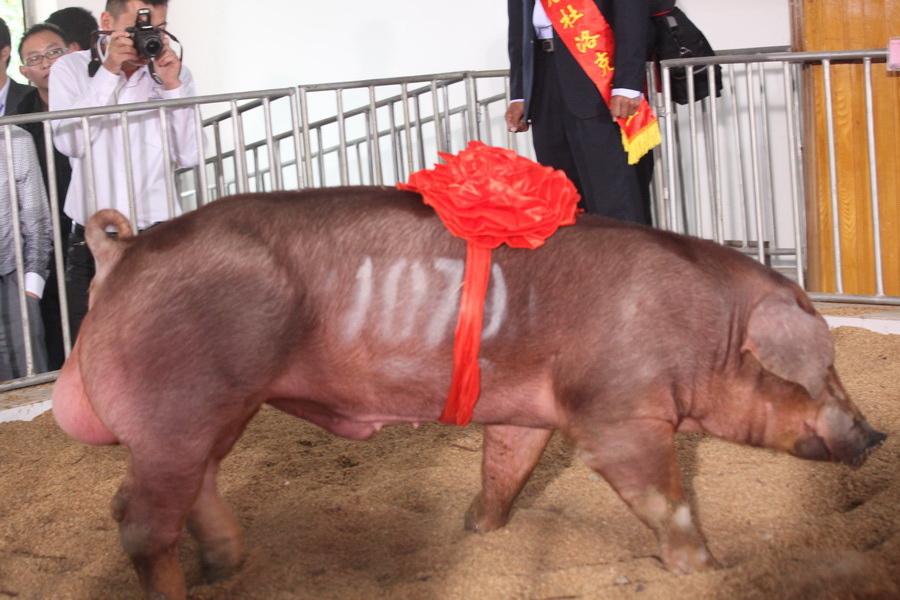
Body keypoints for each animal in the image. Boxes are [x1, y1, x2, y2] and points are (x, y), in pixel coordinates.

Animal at [51, 186, 886, 599]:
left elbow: (506, 469)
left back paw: (232, 567)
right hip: (180, 395)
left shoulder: (528, 411)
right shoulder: (618, 407)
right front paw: (707, 570)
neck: (706, 329)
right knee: (137, 520)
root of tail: (121, 251)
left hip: (218, 408)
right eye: (820, 370)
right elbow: (659, 493)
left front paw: (475, 532)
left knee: (186, 488)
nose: (875, 434)